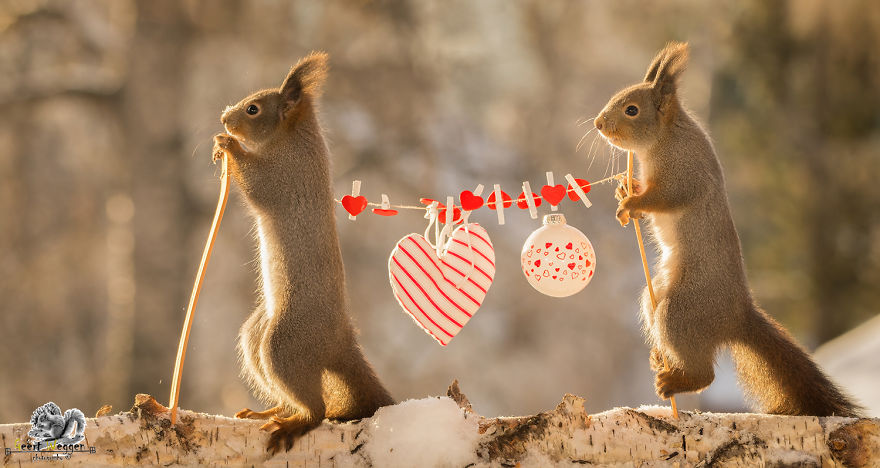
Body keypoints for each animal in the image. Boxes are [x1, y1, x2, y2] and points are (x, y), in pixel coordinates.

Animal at [212, 52, 394, 454]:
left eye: (253, 109)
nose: (224, 119)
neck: (290, 139)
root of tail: (340, 340)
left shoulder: (282, 178)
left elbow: (255, 184)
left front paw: (227, 145)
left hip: (284, 344)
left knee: (316, 410)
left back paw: (291, 425)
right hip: (257, 336)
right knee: (290, 397)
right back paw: (267, 413)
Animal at [595, 42, 862, 417]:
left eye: (631, 110)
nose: (598, 124)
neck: (665, 137)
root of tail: (736, 314)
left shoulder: (686, 172)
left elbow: (669, 196)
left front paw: (631, 202)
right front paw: (625, 188)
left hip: (682, 310)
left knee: (705, 374)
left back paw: (675, 382)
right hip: (656, 297)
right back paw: (662, 362)